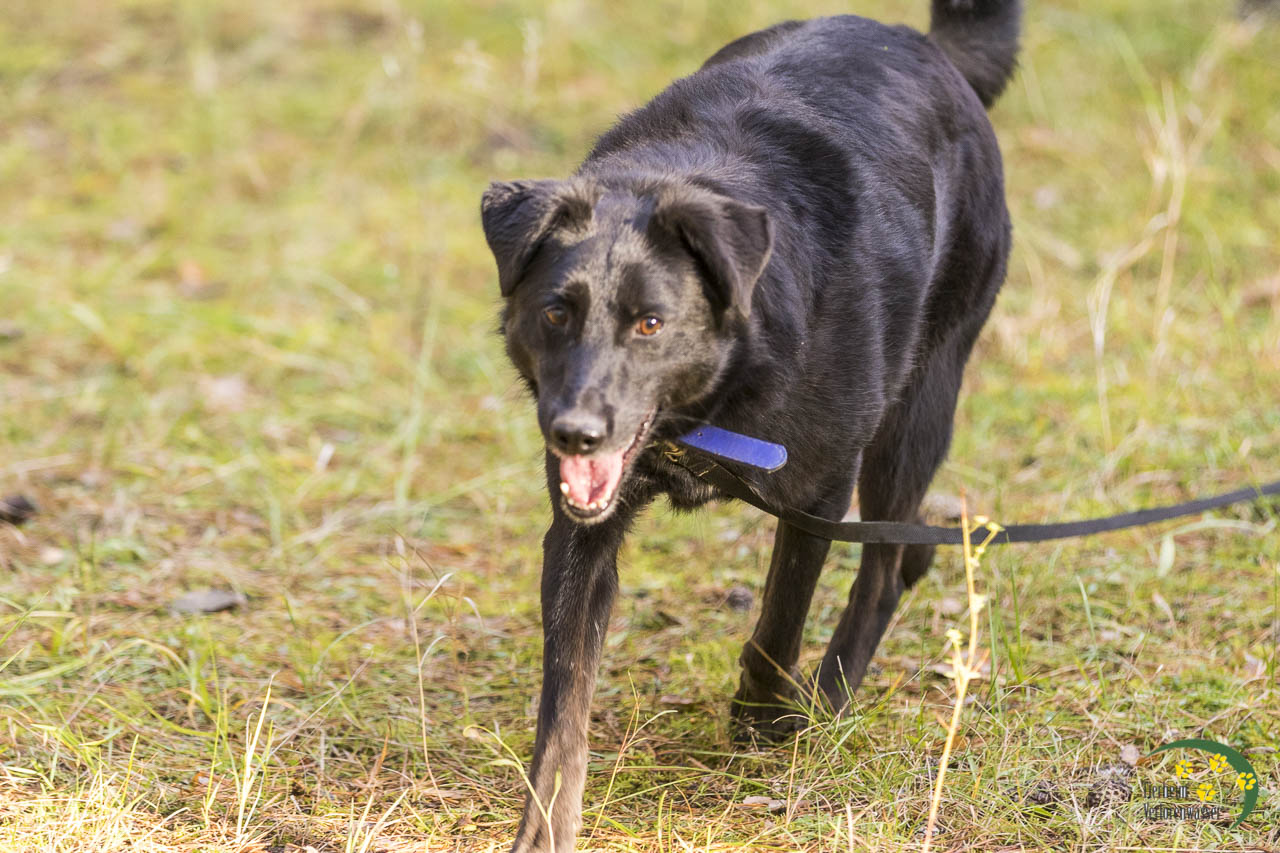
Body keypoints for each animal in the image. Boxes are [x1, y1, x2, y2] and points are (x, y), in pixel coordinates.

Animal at [481, 1, 1020, 849]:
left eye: (650, 322)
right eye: (555, 312)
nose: (575, 433)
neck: (708, 403)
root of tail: (930, 48)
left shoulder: (820, 489)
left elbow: (778, 622)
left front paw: (762, 714)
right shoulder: (581, 532)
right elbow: (565, 700)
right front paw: (545, 826)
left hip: (918, 409)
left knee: (880, 572)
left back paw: (828, 697)